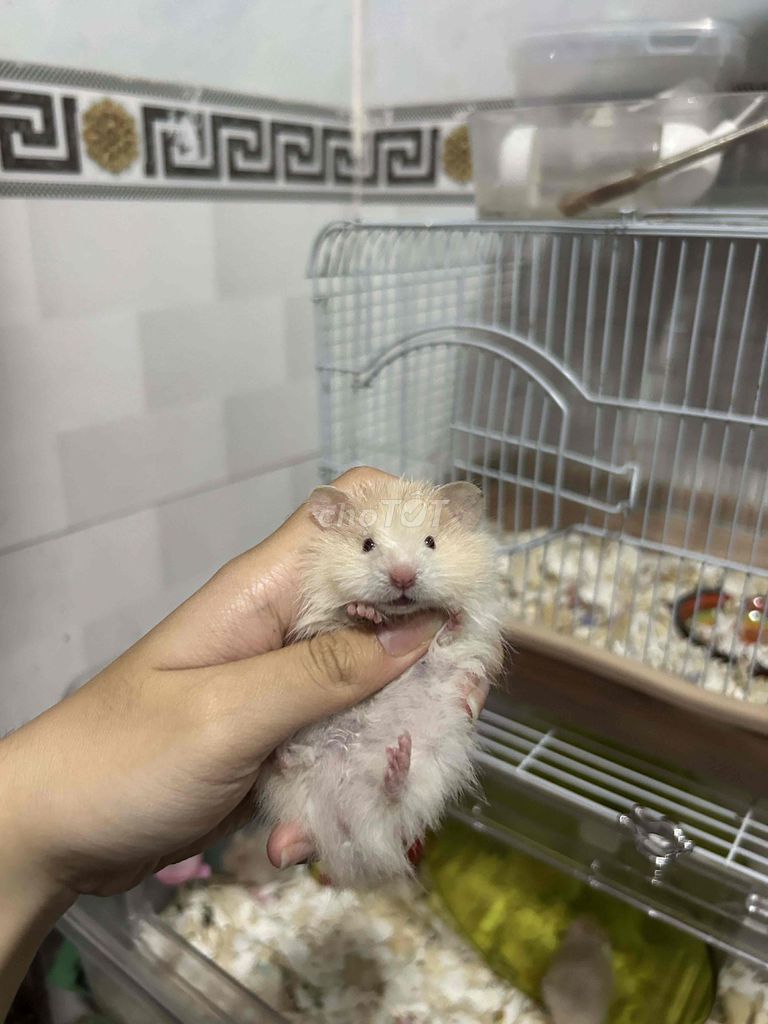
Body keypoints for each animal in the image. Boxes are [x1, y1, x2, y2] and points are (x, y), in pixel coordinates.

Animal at [258, 476, 503, 888]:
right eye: (367, 544)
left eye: (431, 542)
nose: (403, 577)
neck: (401, 616)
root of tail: (342, 815)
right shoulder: (320, 617)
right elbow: (344, 617)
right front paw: (364, 611)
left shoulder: (468, 636)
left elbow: (454, 631)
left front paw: (450, 611)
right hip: (303, 770)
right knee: (294, 765)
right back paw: (281, 752)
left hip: (433, 769)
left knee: (397, 797)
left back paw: (397, 762)